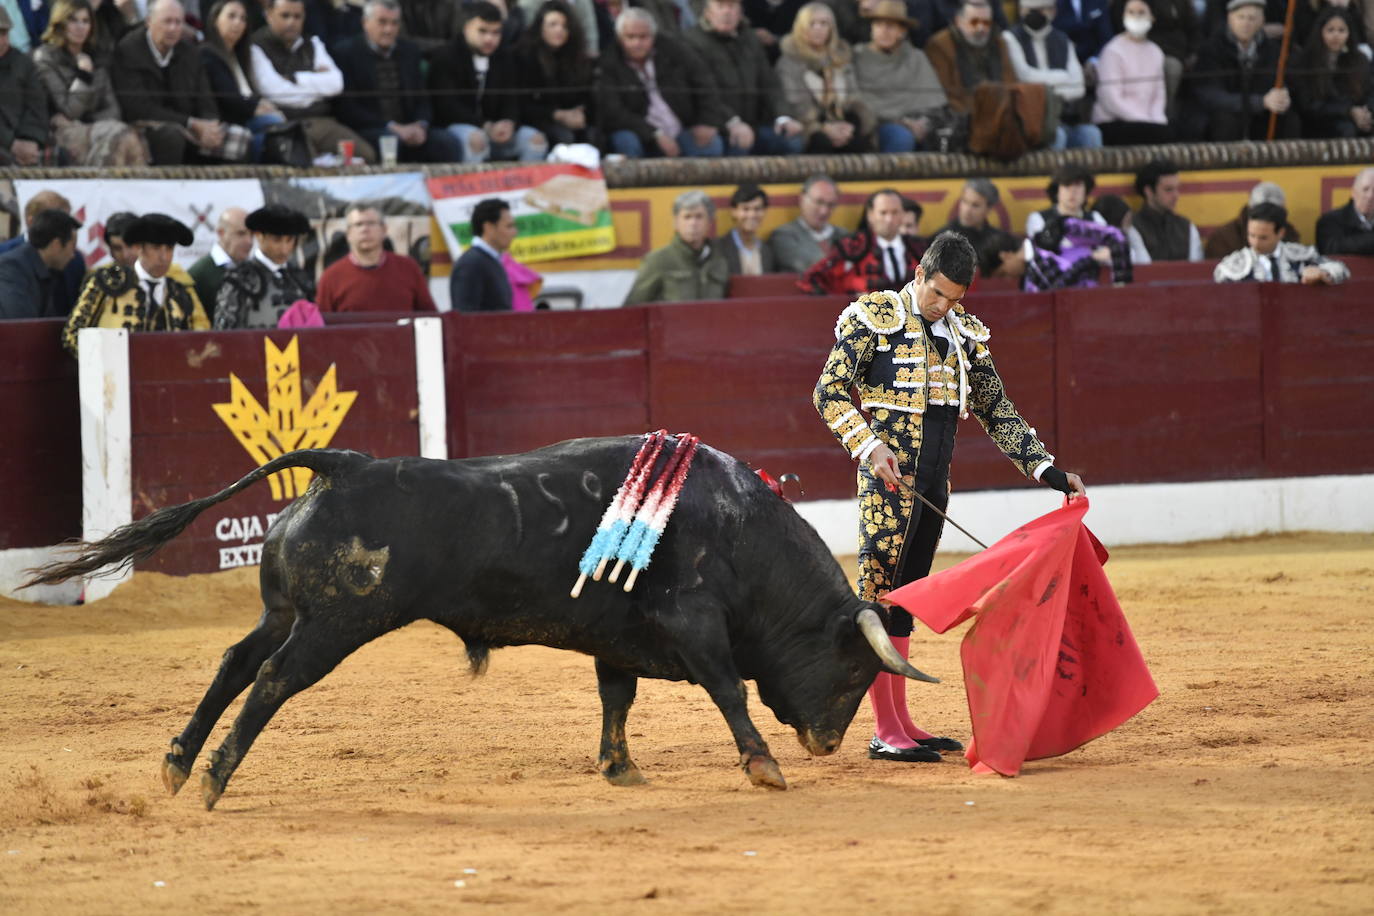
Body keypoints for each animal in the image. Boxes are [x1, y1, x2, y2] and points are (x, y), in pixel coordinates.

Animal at [26, 436, 939, 807]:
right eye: (854, 669)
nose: (824, 742)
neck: (739, 528)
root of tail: (342, 465)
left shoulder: (619, 639)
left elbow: (617, 699)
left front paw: (620, 769)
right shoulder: (693, 626)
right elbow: (728, 691)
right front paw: (763, 767)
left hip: (286, 610)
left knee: (234, 663)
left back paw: (179, 764)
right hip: (335, 625)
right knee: (276, 680)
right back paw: (215, 778)